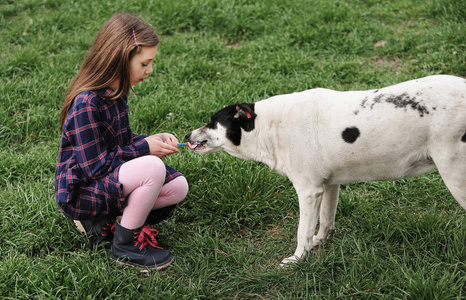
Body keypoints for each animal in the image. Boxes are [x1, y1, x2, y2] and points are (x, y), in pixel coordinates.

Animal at [187, 75, 466, 264]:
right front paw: (319, 242)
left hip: (456, 177)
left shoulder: (309, 192)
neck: (268, 126)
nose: (187, 135)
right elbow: (325, 221)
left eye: (212, 122)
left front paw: (297, 260)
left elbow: (303, 231)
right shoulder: (330, 185)